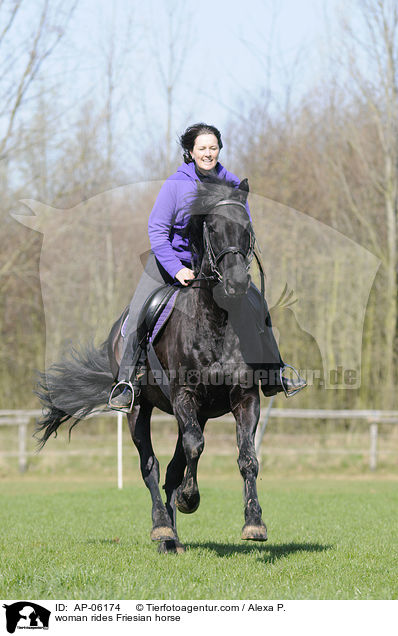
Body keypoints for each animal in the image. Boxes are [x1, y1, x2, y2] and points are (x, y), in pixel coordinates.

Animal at [36, 178, 274, 552]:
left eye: (246, 228)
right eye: (213, 228)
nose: (236, 284)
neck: (216, 321)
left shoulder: (244, 397)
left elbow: (246, 456)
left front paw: (254, 522)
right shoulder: (184, 395)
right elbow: (192, 449)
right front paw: (190, 499)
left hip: (196, 413)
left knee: (176, 465)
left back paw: (173, 537)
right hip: (139, 408)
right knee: (151, 465)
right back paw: (163, 529)